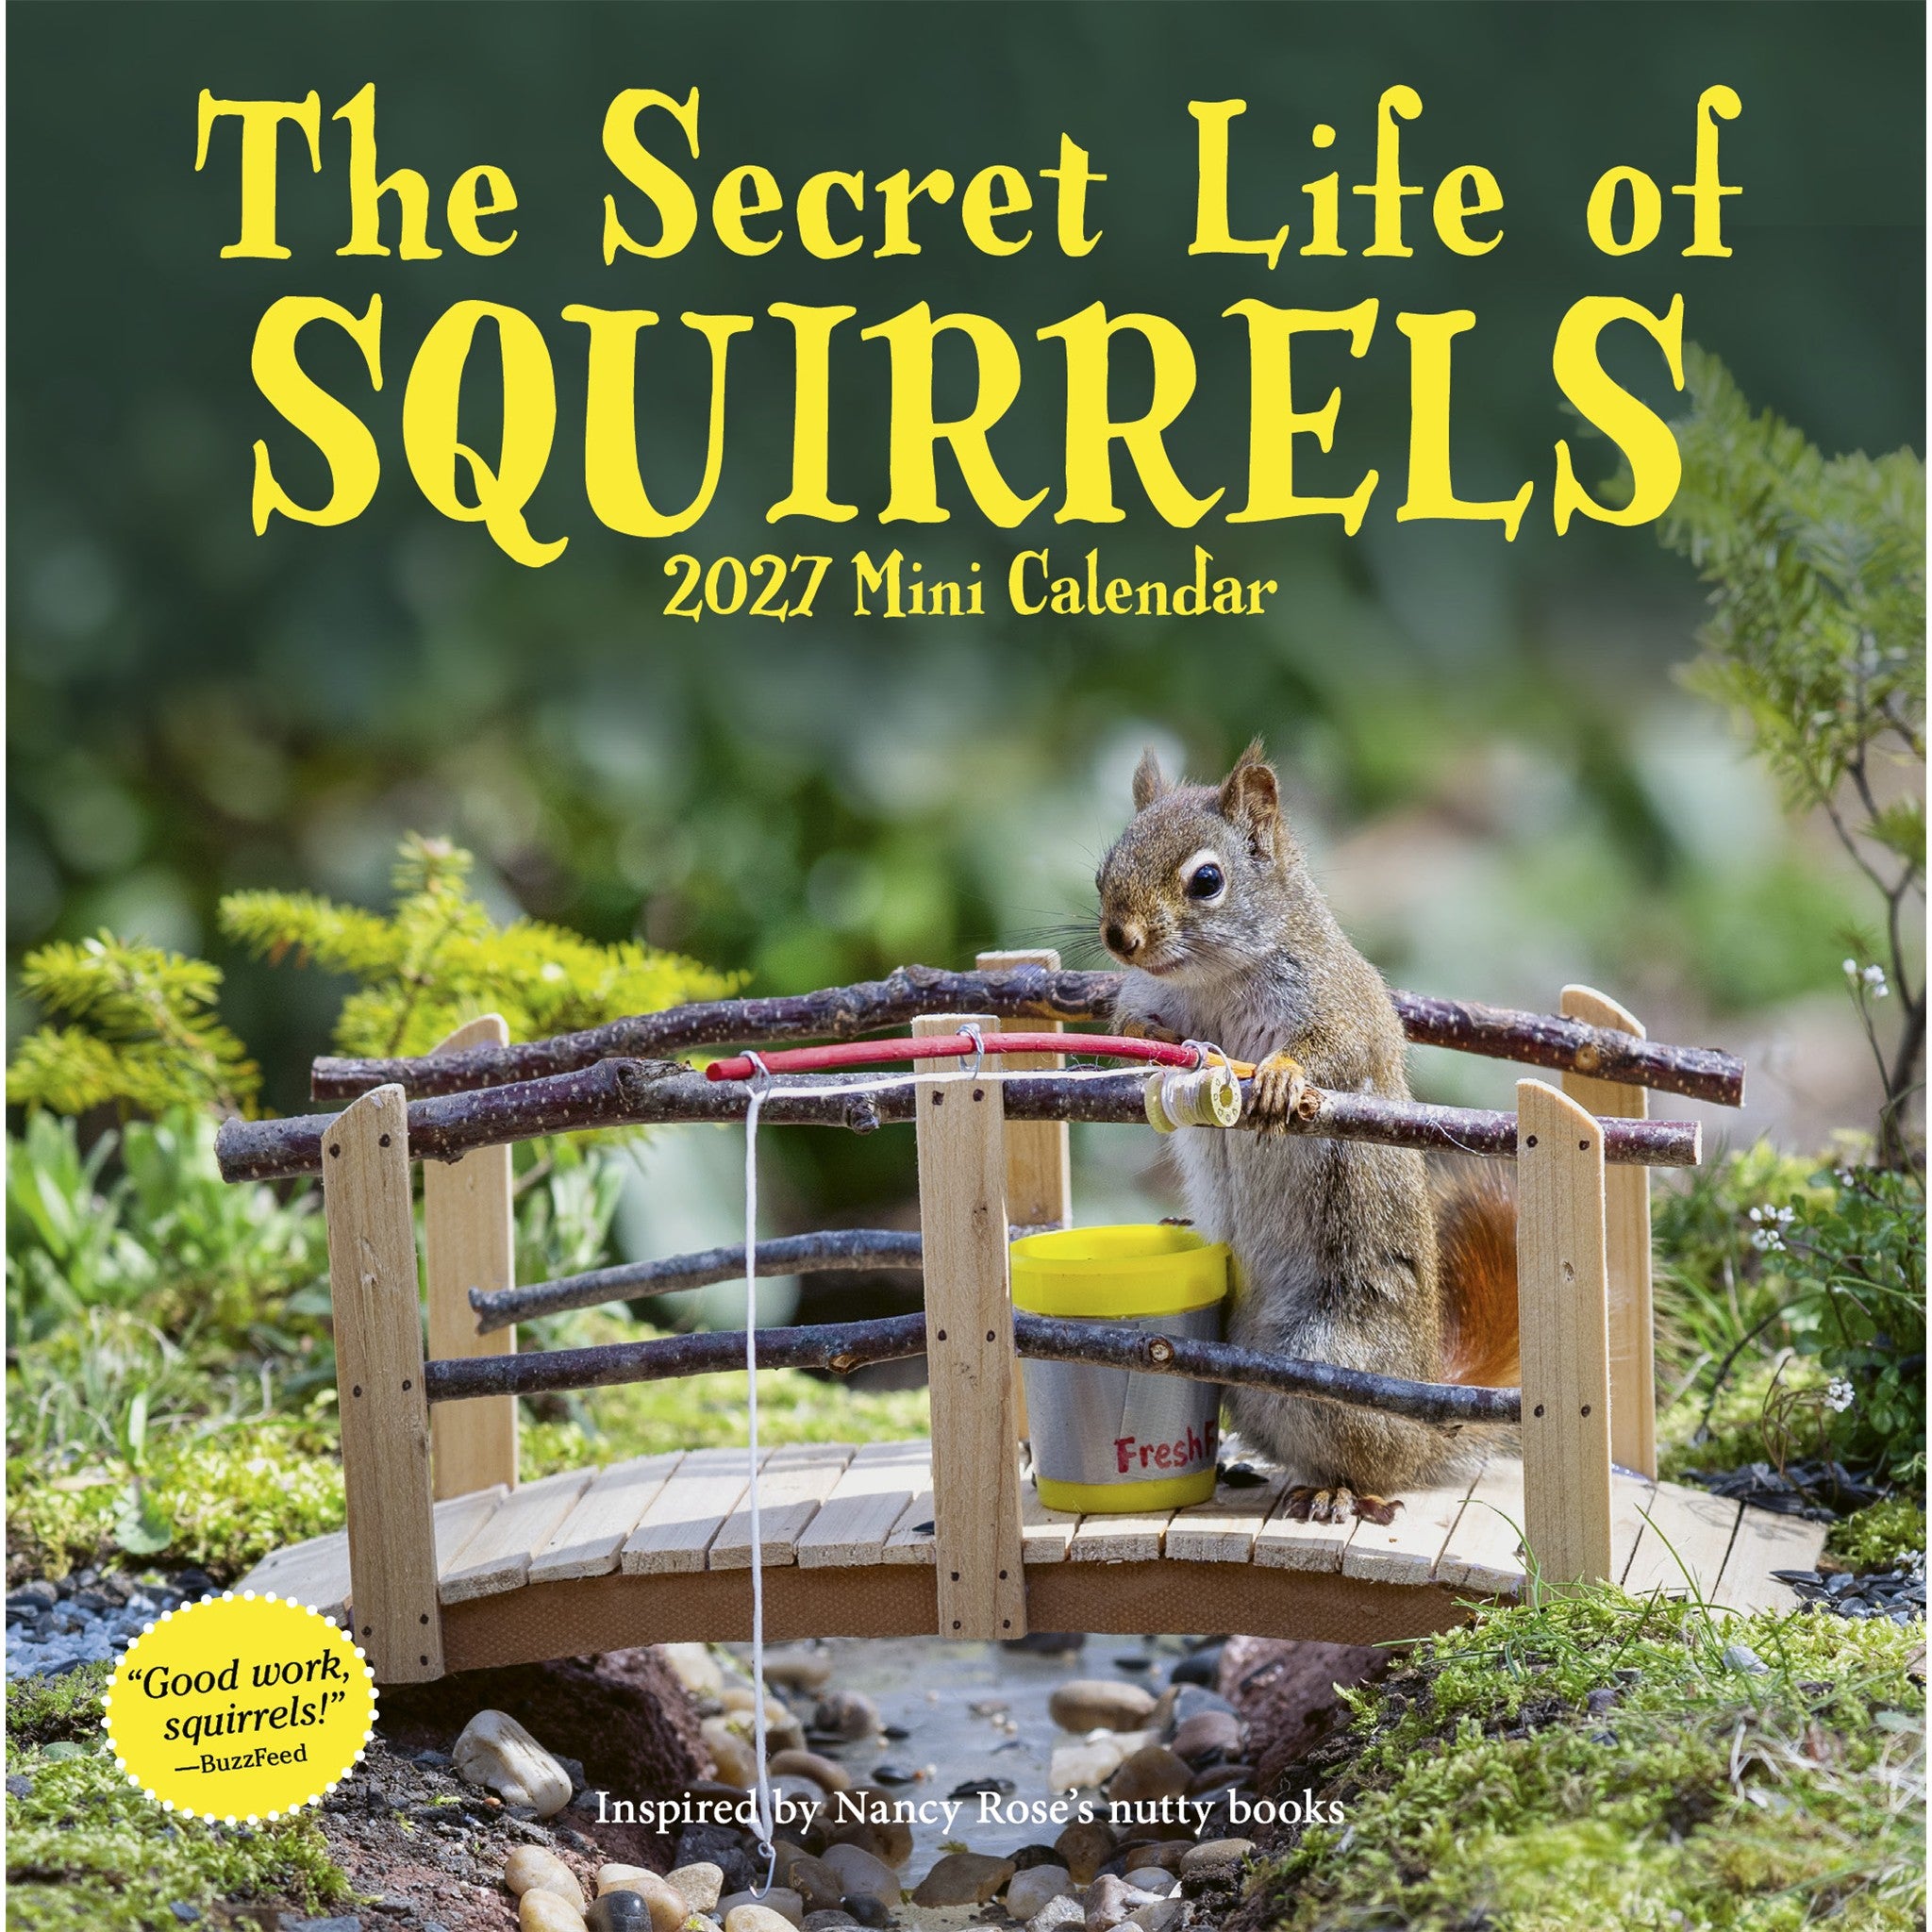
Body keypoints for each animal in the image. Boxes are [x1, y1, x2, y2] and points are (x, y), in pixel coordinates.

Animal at [1097, 739, 1520, 1525]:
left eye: (1207, 880)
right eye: (1106, 867)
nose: (1120, 938)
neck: (1211, 983)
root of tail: (1423, 1432)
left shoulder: (1342, 1007)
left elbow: (1337, 1051)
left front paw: (1282, 1079)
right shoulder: (1146, 999)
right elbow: (1134, 1030)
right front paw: (1155, 1053)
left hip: (1334, 1359)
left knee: (1372, 1465)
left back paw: (1339, 1491)